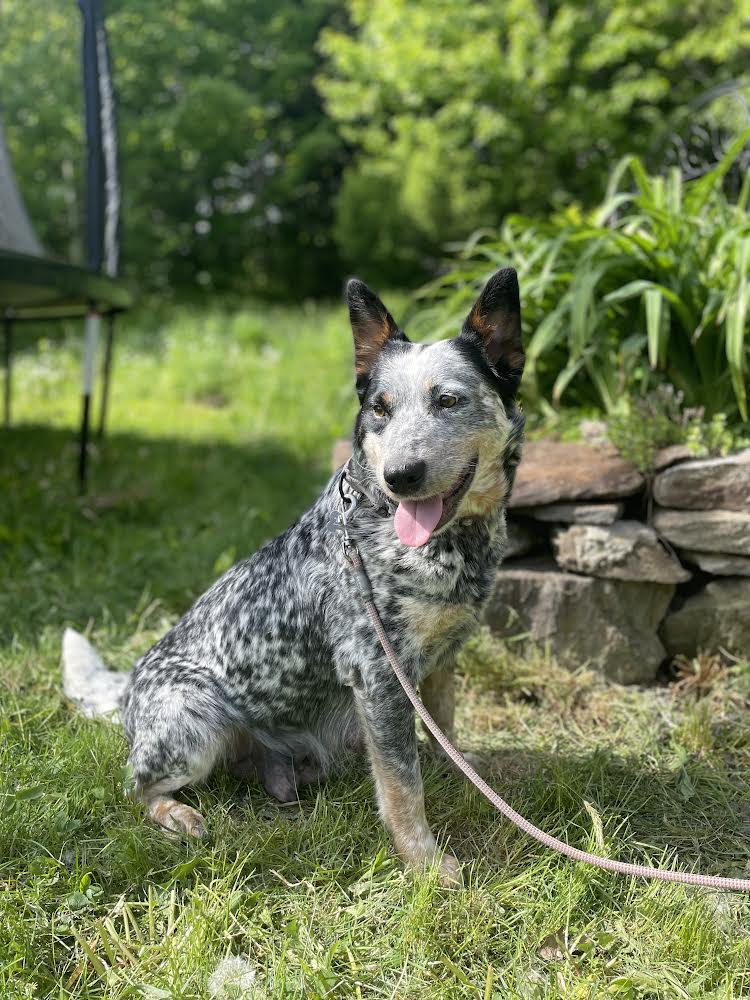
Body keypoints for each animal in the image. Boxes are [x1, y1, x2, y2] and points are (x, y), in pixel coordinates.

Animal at [61, 266, 524, 884]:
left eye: (448, 400)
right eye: (381, 409)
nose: (400, 475)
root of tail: (129, 685)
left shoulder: (441, 659)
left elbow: (444, 731)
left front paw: (462, 777)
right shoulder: (380, 676)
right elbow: (403, 787)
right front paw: (425, 863)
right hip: (197, 720)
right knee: (136, 788)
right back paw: (177, 814)